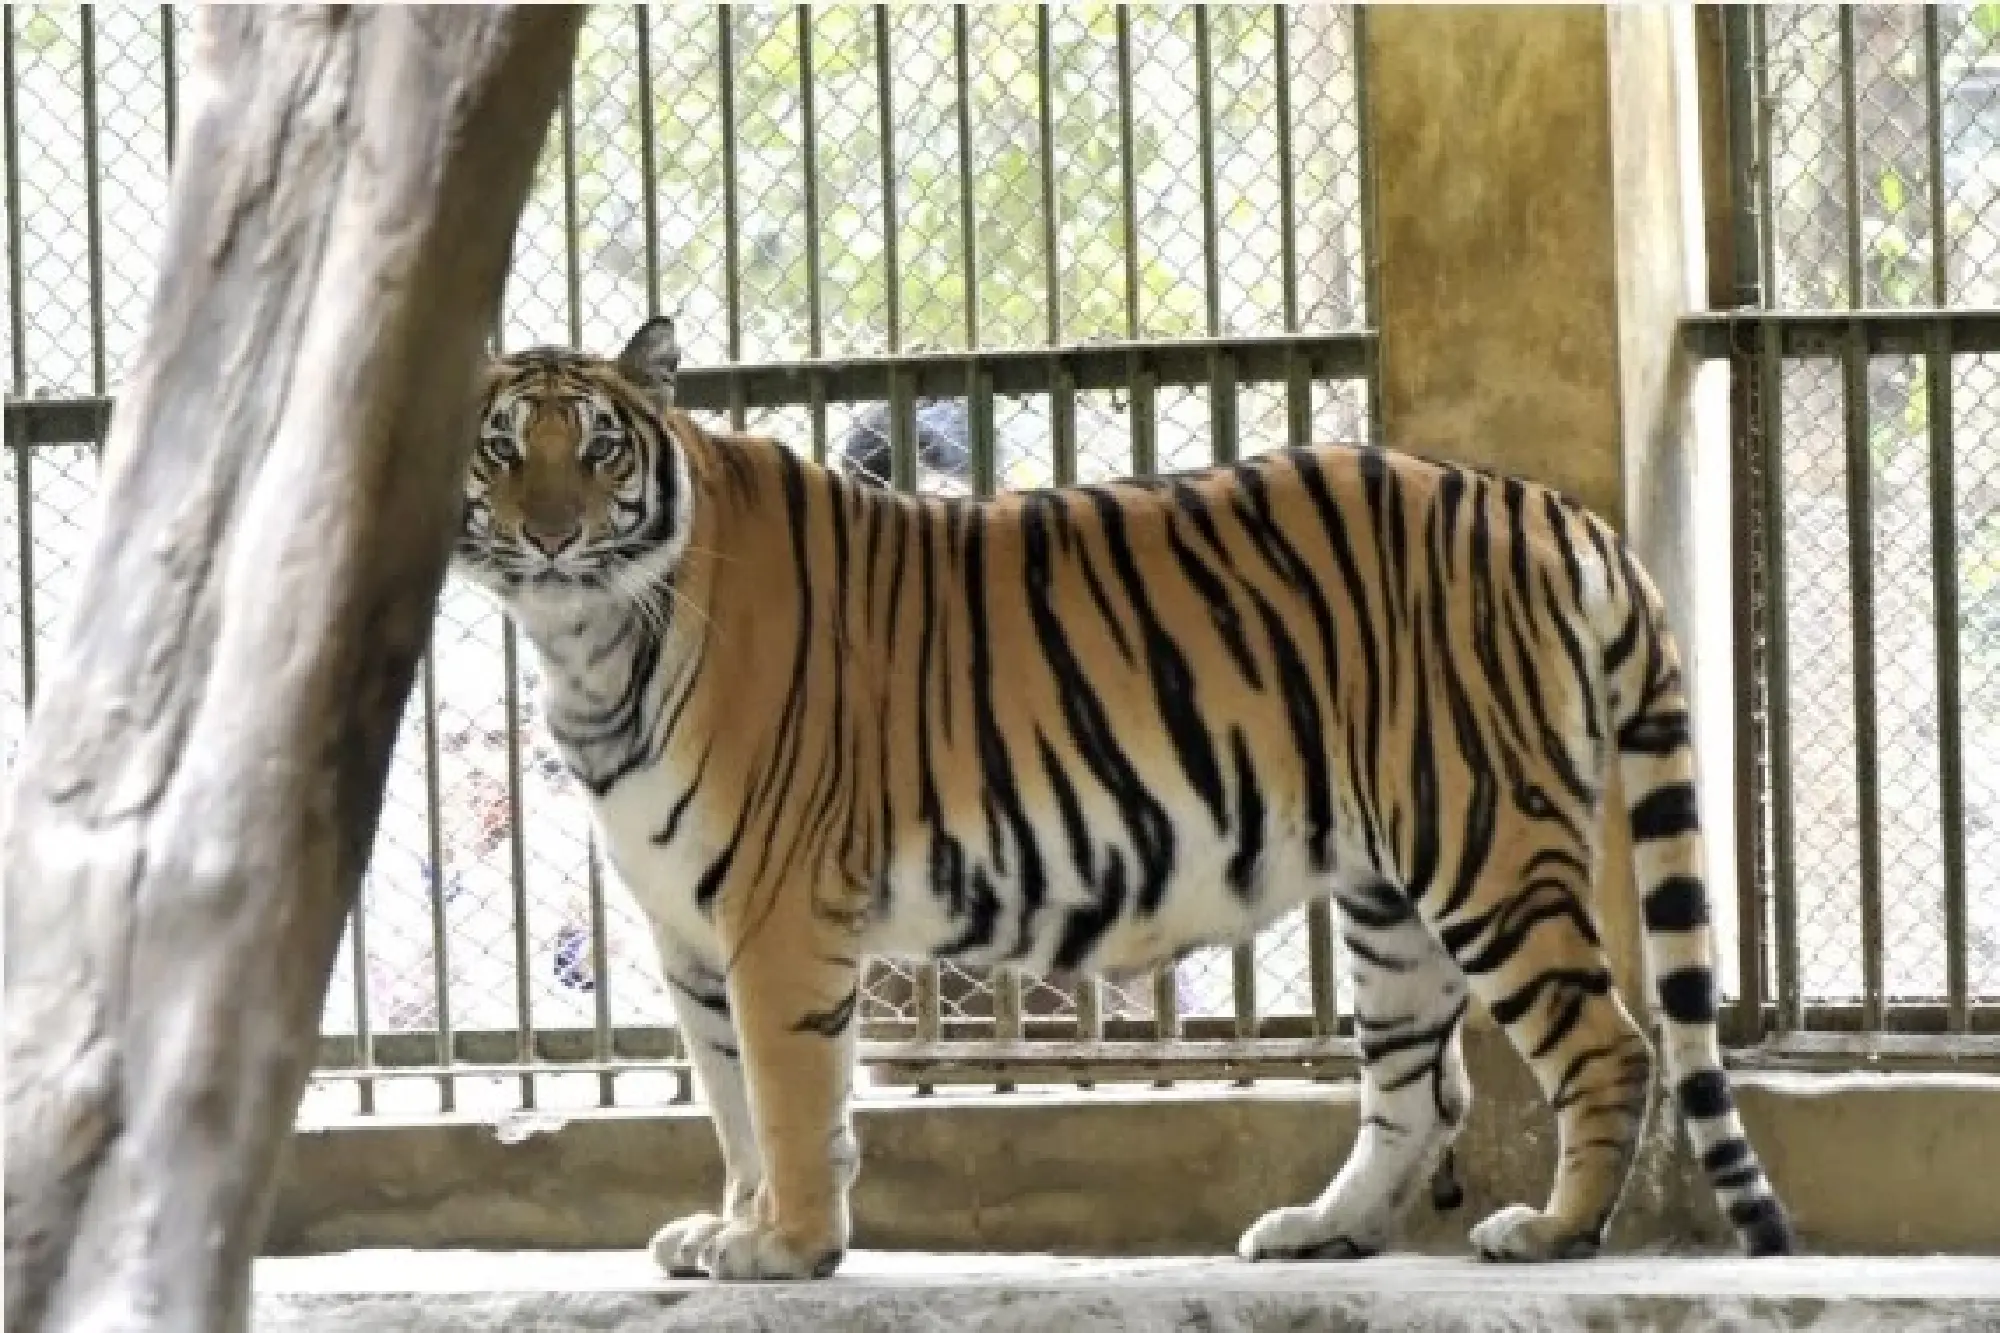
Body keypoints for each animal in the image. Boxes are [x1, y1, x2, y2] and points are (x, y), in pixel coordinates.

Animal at [453, 315, 1795, 1282]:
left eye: (602, 449)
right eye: (503, 448)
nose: (555, 535)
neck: (588, 643)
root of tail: (1551, 505)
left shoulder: (775, 911)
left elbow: (786, 1093)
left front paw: (786, 1246)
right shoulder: (687, 925)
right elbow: (727, 1098)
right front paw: (729, 1225)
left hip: (1483, 843)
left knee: (1607, 1042)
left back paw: (1554, 1232)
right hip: (1388, 888)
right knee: (1417, 1086)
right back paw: (1322, 1229)